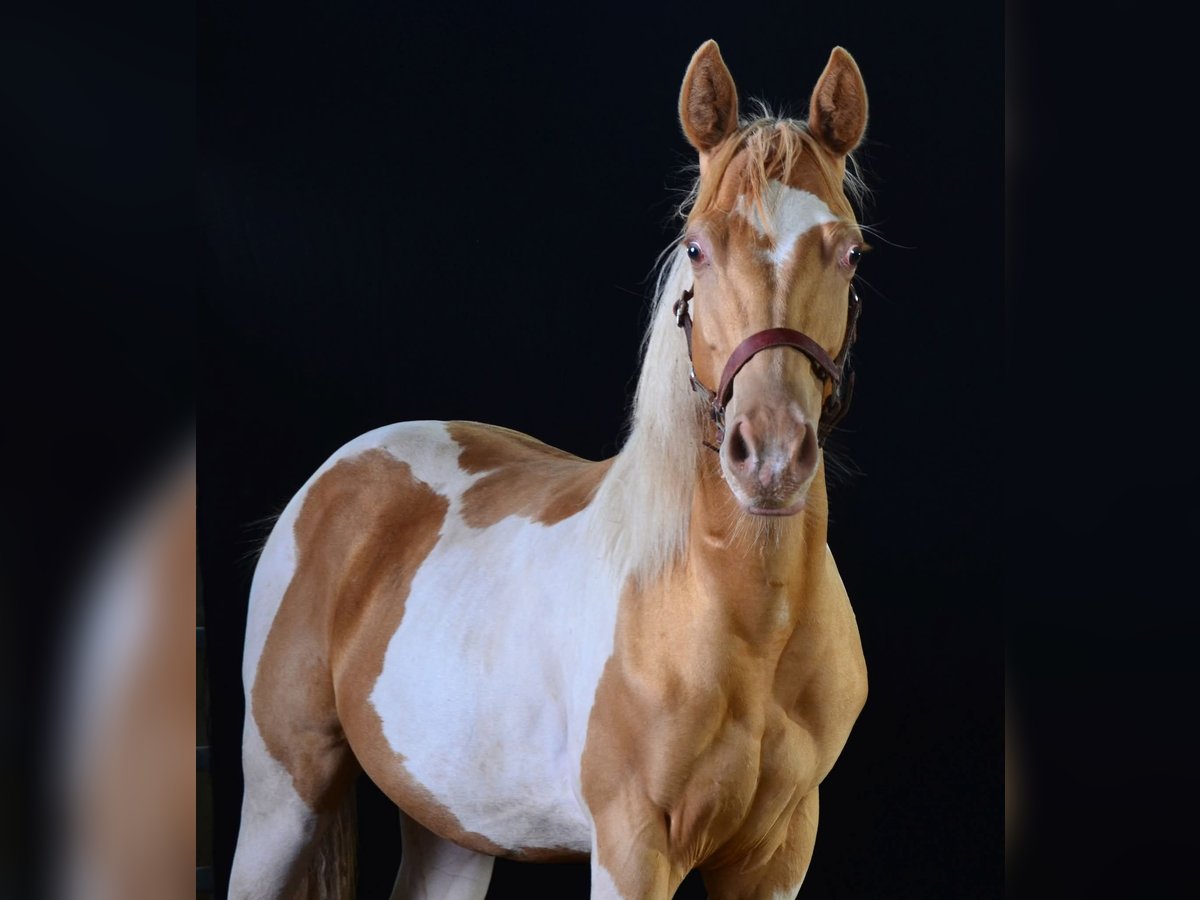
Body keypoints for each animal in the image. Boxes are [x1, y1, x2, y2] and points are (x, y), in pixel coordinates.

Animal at [229, 39, 871, 900]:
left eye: (850, 252)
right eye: (697, 246)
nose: (768, 457)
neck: (738, 619)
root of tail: (332, 477)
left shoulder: (777, 854)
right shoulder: (632, 848)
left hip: (452, 827)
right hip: (283, 793)